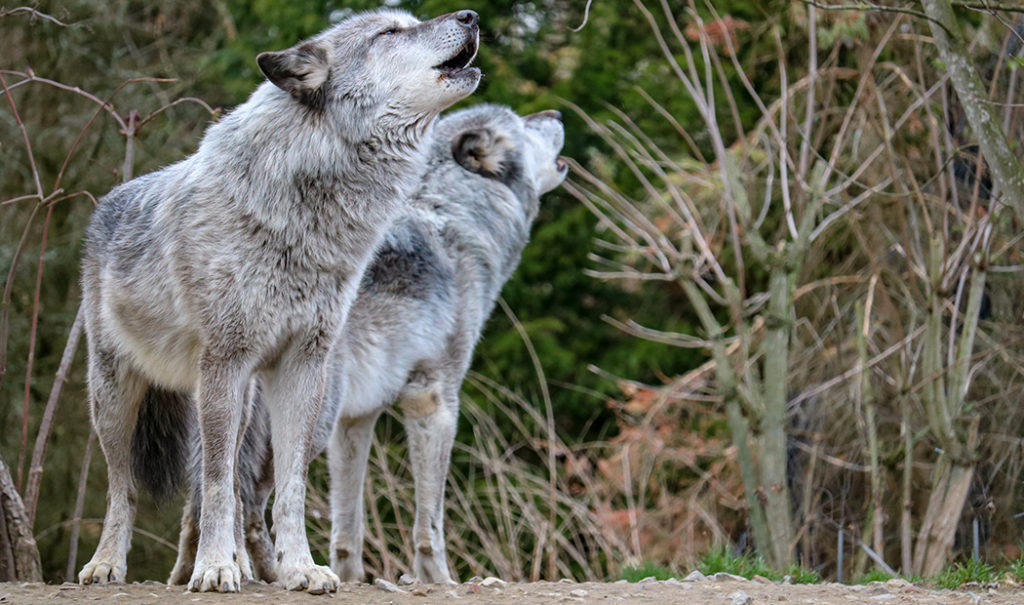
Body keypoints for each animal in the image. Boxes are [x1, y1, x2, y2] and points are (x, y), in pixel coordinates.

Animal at [76, 8, 483, 597]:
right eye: (389, 32)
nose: (471, 16)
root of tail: (108, 203)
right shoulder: (225, 360)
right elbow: (216, 482)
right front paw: (214, 568)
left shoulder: (303, 366)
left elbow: (289, 487)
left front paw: (300, 569)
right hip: (118, 397)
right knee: (125, 486)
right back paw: (109, 564)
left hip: (242, 400)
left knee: (234, 485)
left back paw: (244, 566)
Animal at [169, 104, 569, 585]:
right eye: (523, 123)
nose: (555, 111)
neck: (452, 218)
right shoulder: (433, 401)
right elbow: (430, 525)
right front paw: (440, 581)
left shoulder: (356, 421)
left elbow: (347, 527)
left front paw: (354, 576)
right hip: (305, 423)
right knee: (251, 503)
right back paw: (275, 574)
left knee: (204, 498)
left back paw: (199, 573)